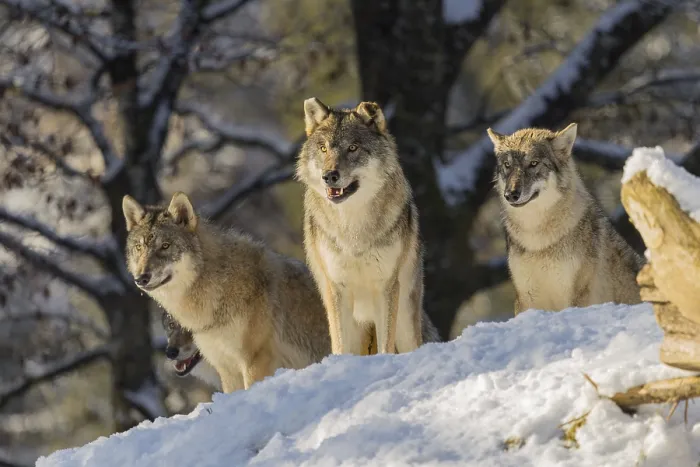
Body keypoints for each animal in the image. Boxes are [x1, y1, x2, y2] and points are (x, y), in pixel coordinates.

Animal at [296, 97, 437, 356]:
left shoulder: (386, 286)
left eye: (353, 148)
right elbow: (340, 346)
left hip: (405, 321)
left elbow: (385, 345)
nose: (329, 176)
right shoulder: (336, 288)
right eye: (323, 149)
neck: (353, 228)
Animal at [487, 123, 644, 315]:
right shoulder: (526, 297)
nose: (510, 194)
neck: (537, 239)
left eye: (533, 163)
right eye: (507, 165)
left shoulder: (576, 295)